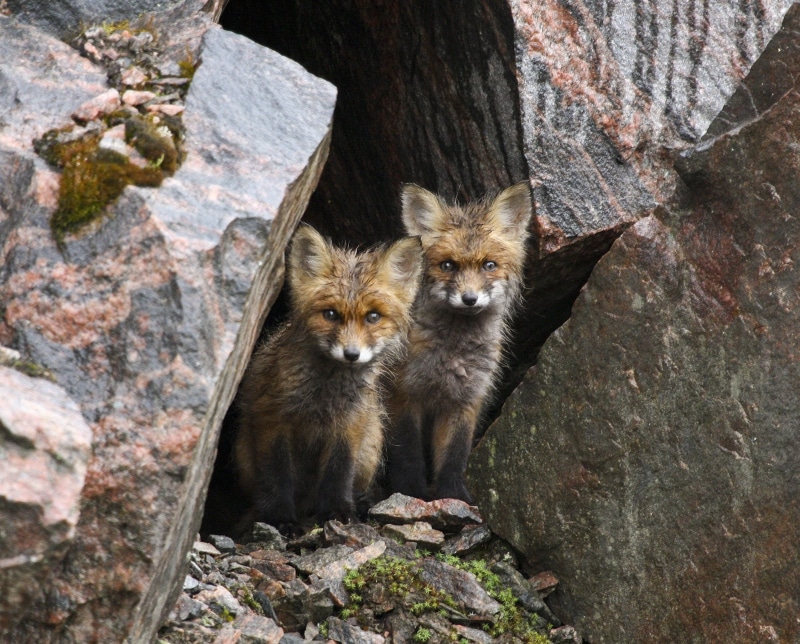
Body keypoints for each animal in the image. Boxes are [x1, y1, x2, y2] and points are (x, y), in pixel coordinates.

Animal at [234, 224, 423, 533]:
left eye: (373, 316)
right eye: (331, 314)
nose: (351, 354)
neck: (324, 397)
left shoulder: (349, 425)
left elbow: (338, 472)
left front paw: (337, 512)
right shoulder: (271, 419)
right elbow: (276, 476)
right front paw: (280, 518)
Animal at [384, 182, 533, 503]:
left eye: (489, 265)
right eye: (448, 265)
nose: (469, 298)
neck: (453, 355)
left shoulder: (466, 400)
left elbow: (454, 455)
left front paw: (453, 495)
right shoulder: (404, 394)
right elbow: (408, 454)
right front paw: (411, 493)